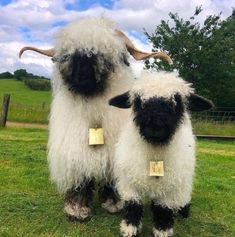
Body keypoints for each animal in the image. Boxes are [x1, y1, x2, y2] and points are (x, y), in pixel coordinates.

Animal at [18, 17, 173, 221]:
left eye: (105, 53)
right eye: (68, 54)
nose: (83, 73)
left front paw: (114, 204)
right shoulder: (75, 153)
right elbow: (80, 181)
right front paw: (76, 210)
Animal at [109, 71, 213, 237]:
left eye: (176, 100)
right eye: (138, 101)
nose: (155, 127)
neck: (155, 153)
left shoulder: (171, 186)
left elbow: (164, 210)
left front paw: (162, 230)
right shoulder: (129, 182)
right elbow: (133, 206)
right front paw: (130, 229)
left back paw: (184, 210)